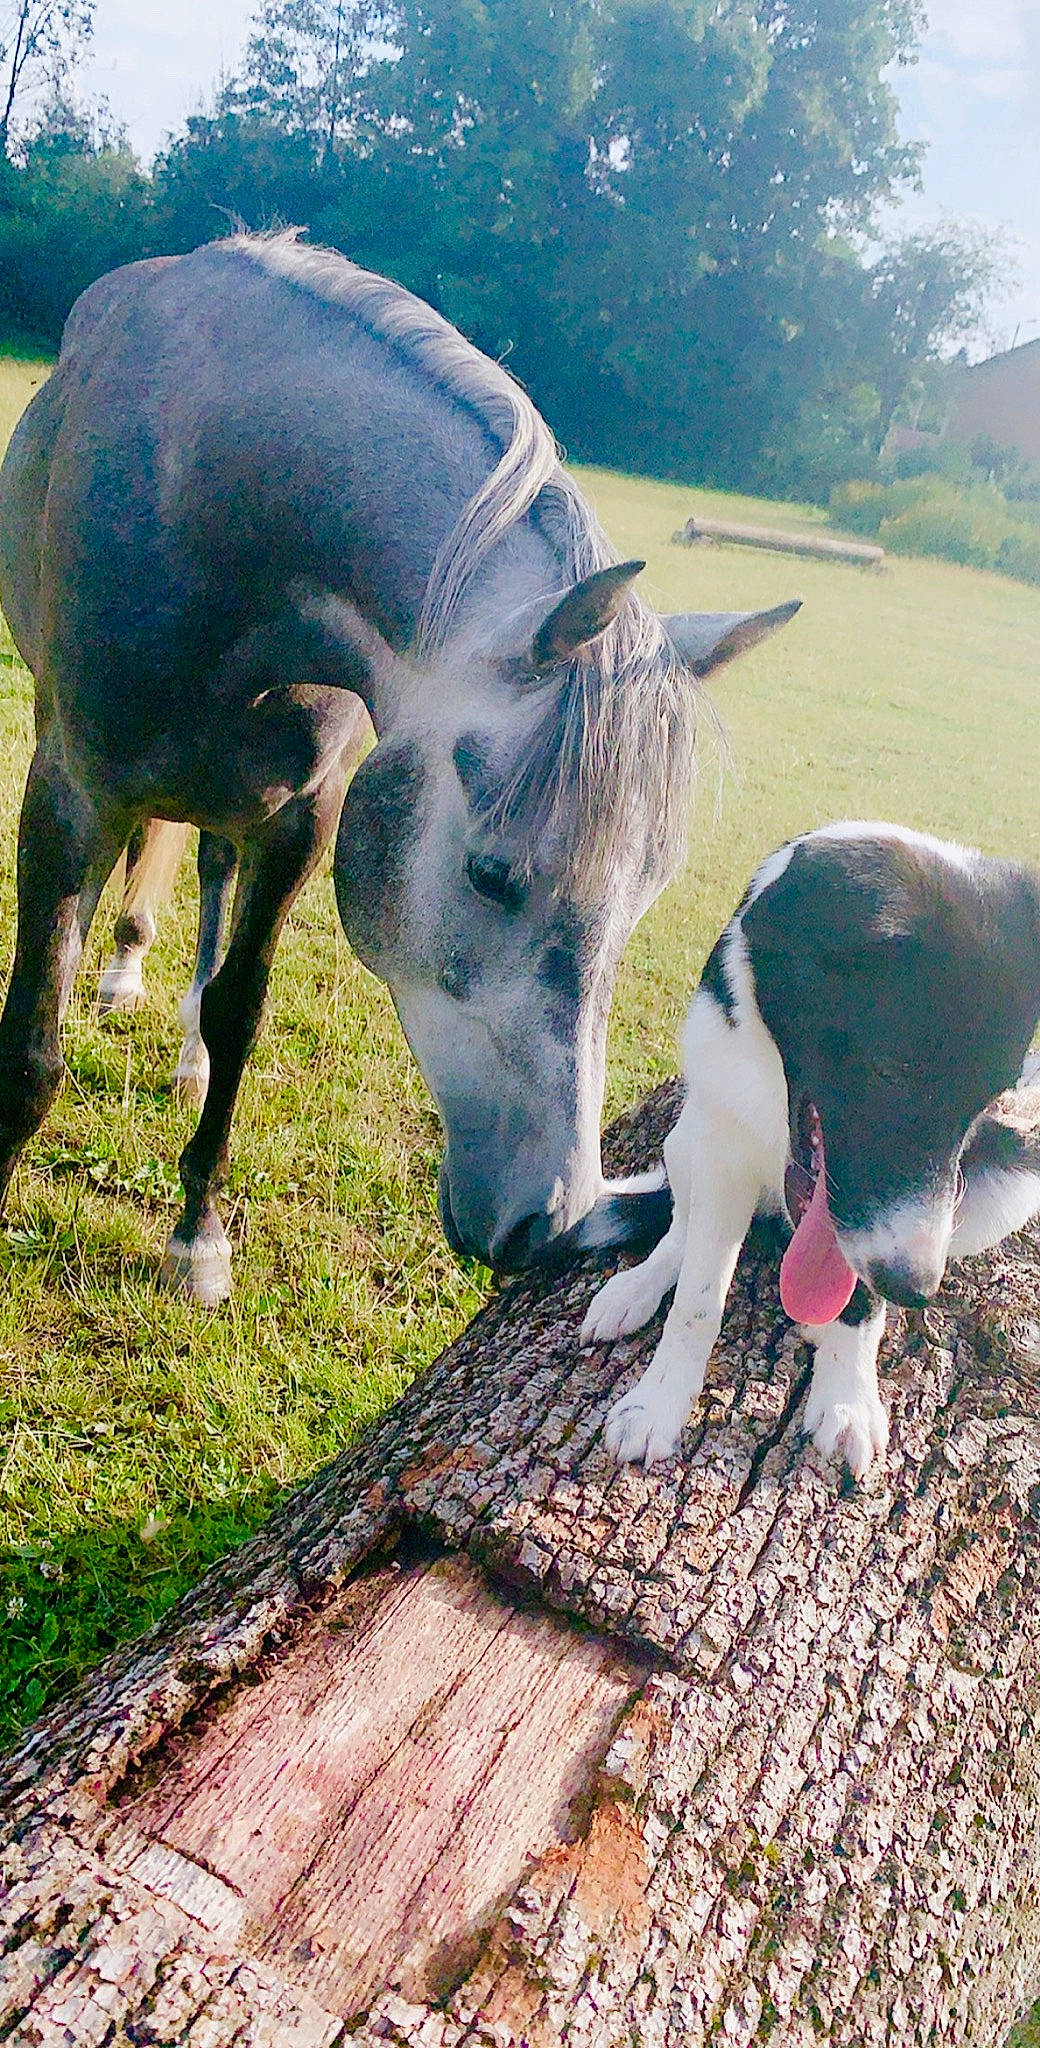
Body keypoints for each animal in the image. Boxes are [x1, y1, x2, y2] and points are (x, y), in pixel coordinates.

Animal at [0, 231, 798, 1304]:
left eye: (647, 900)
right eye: (490, 875)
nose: (550, 1224)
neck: (213, 505)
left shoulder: (305, 817)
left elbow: (240, 1014)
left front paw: (198, 1234)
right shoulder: (73, 791)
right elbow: (30, 1055)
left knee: (208, 867)